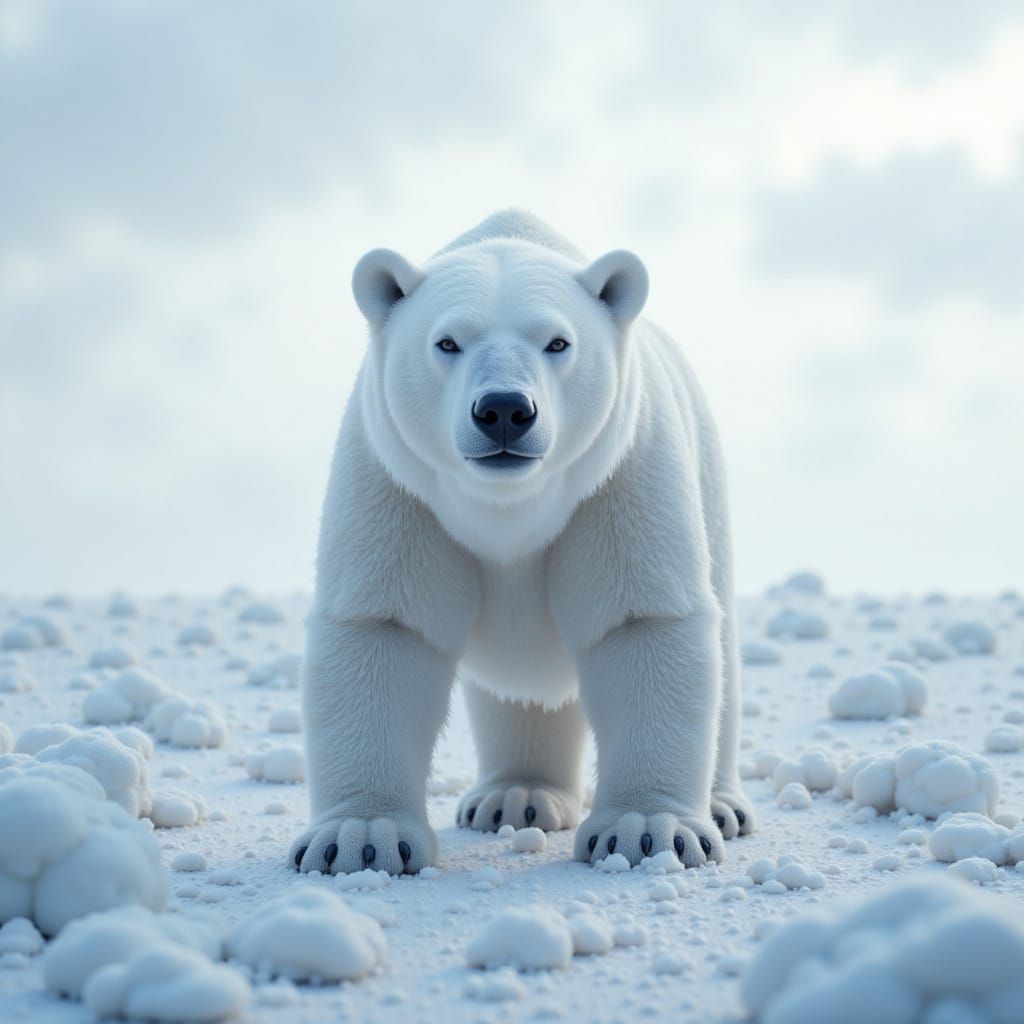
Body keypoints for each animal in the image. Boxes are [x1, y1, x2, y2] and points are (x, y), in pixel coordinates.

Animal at [289, 210, 755, 876]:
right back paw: (513, 796)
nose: (505, 409)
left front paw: (648, 831)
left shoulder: (621, 475)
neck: (509, 509)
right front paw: (356, 840)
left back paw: (721, 806)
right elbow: (386, 626)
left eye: (557, 342)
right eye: (447, 342)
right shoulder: (397, 483)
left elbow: (641, 620)